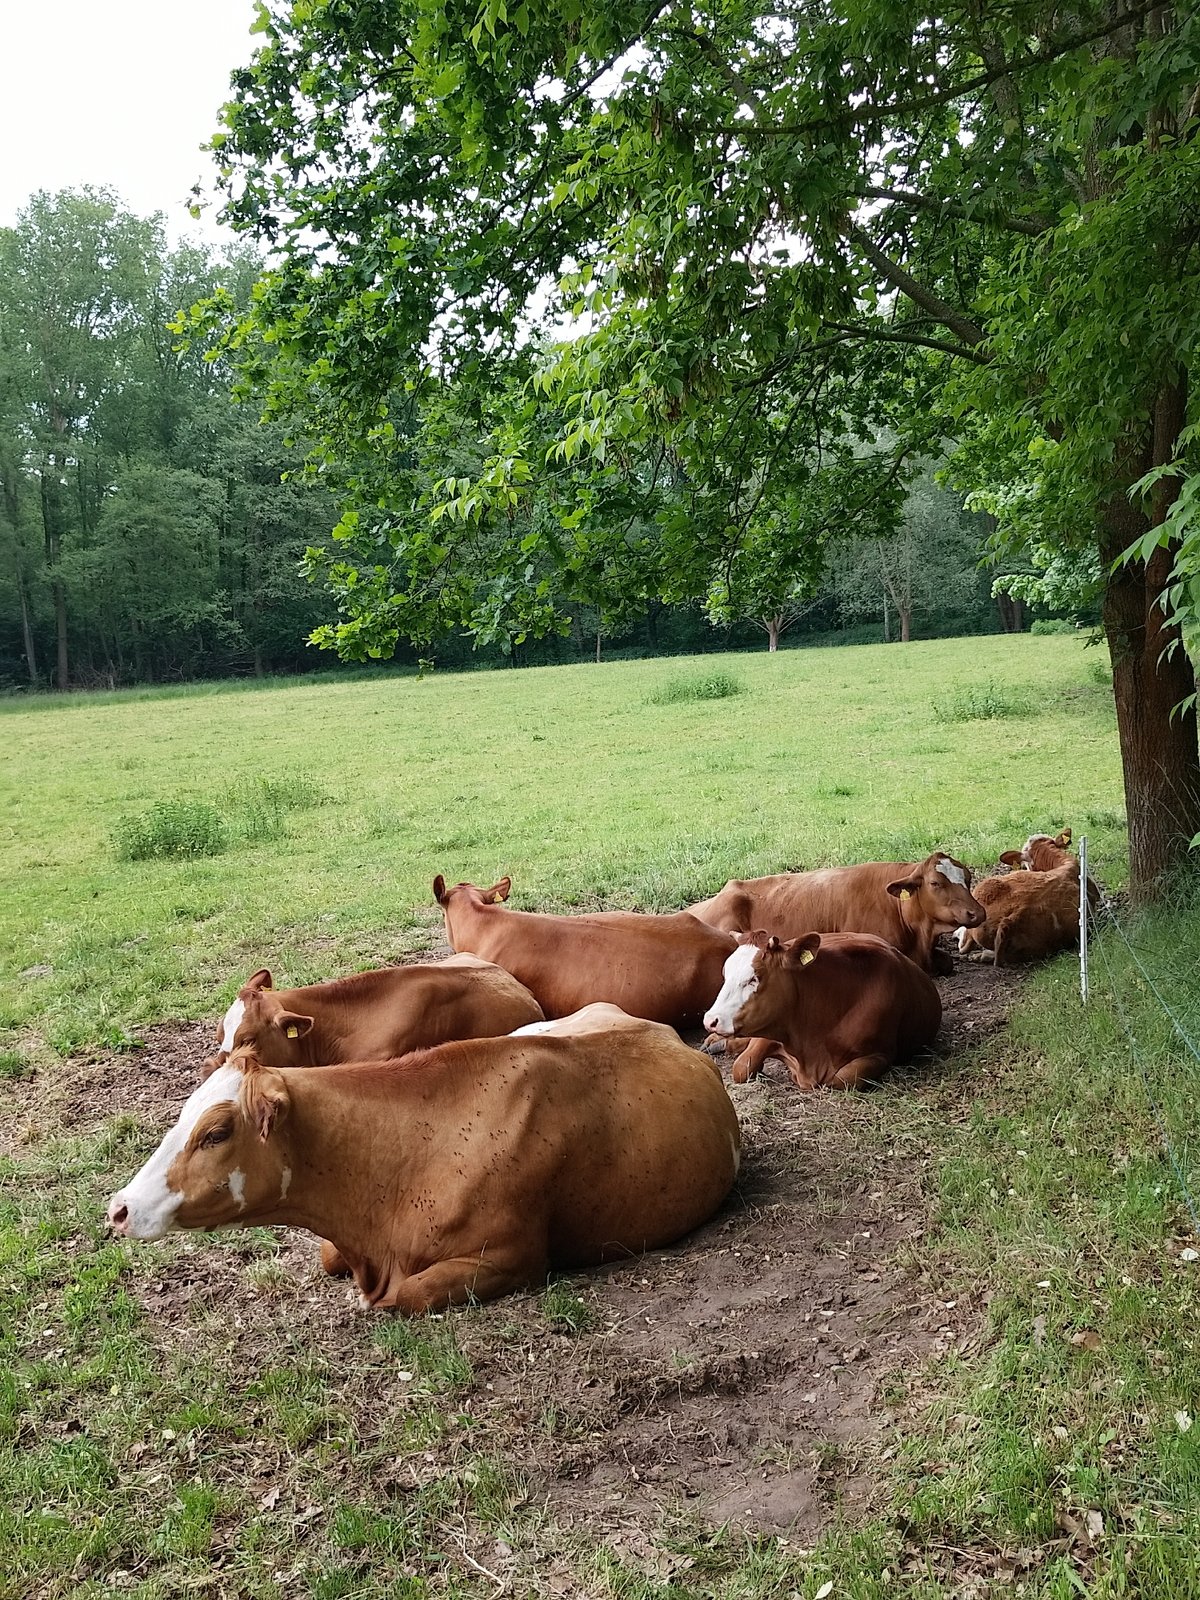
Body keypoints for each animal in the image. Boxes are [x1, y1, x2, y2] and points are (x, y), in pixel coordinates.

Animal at [703, 930, 942, 1090]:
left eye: (754, 978)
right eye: (725, 974)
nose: (710, 1020)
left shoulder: (881, 1054)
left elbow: (843, 1078)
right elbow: (742, 1067)